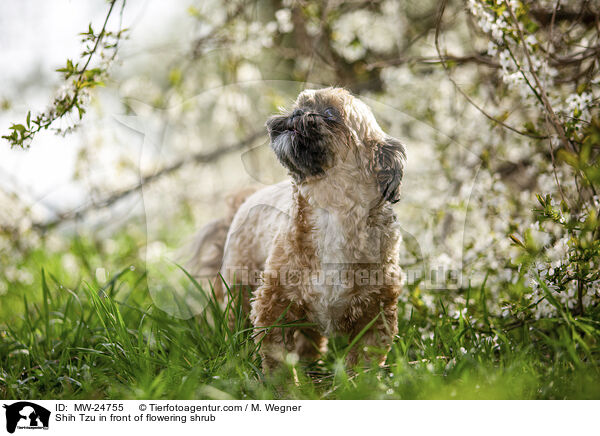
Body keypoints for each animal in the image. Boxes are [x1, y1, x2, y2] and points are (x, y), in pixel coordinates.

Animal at [195, 87, 406, 370]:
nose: (299, 113)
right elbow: (277, 360)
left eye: (330, 113)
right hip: (239, 286)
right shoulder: (272, 304)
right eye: (300, 104)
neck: (331, 216)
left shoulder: (375, 314)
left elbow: (363, 362)